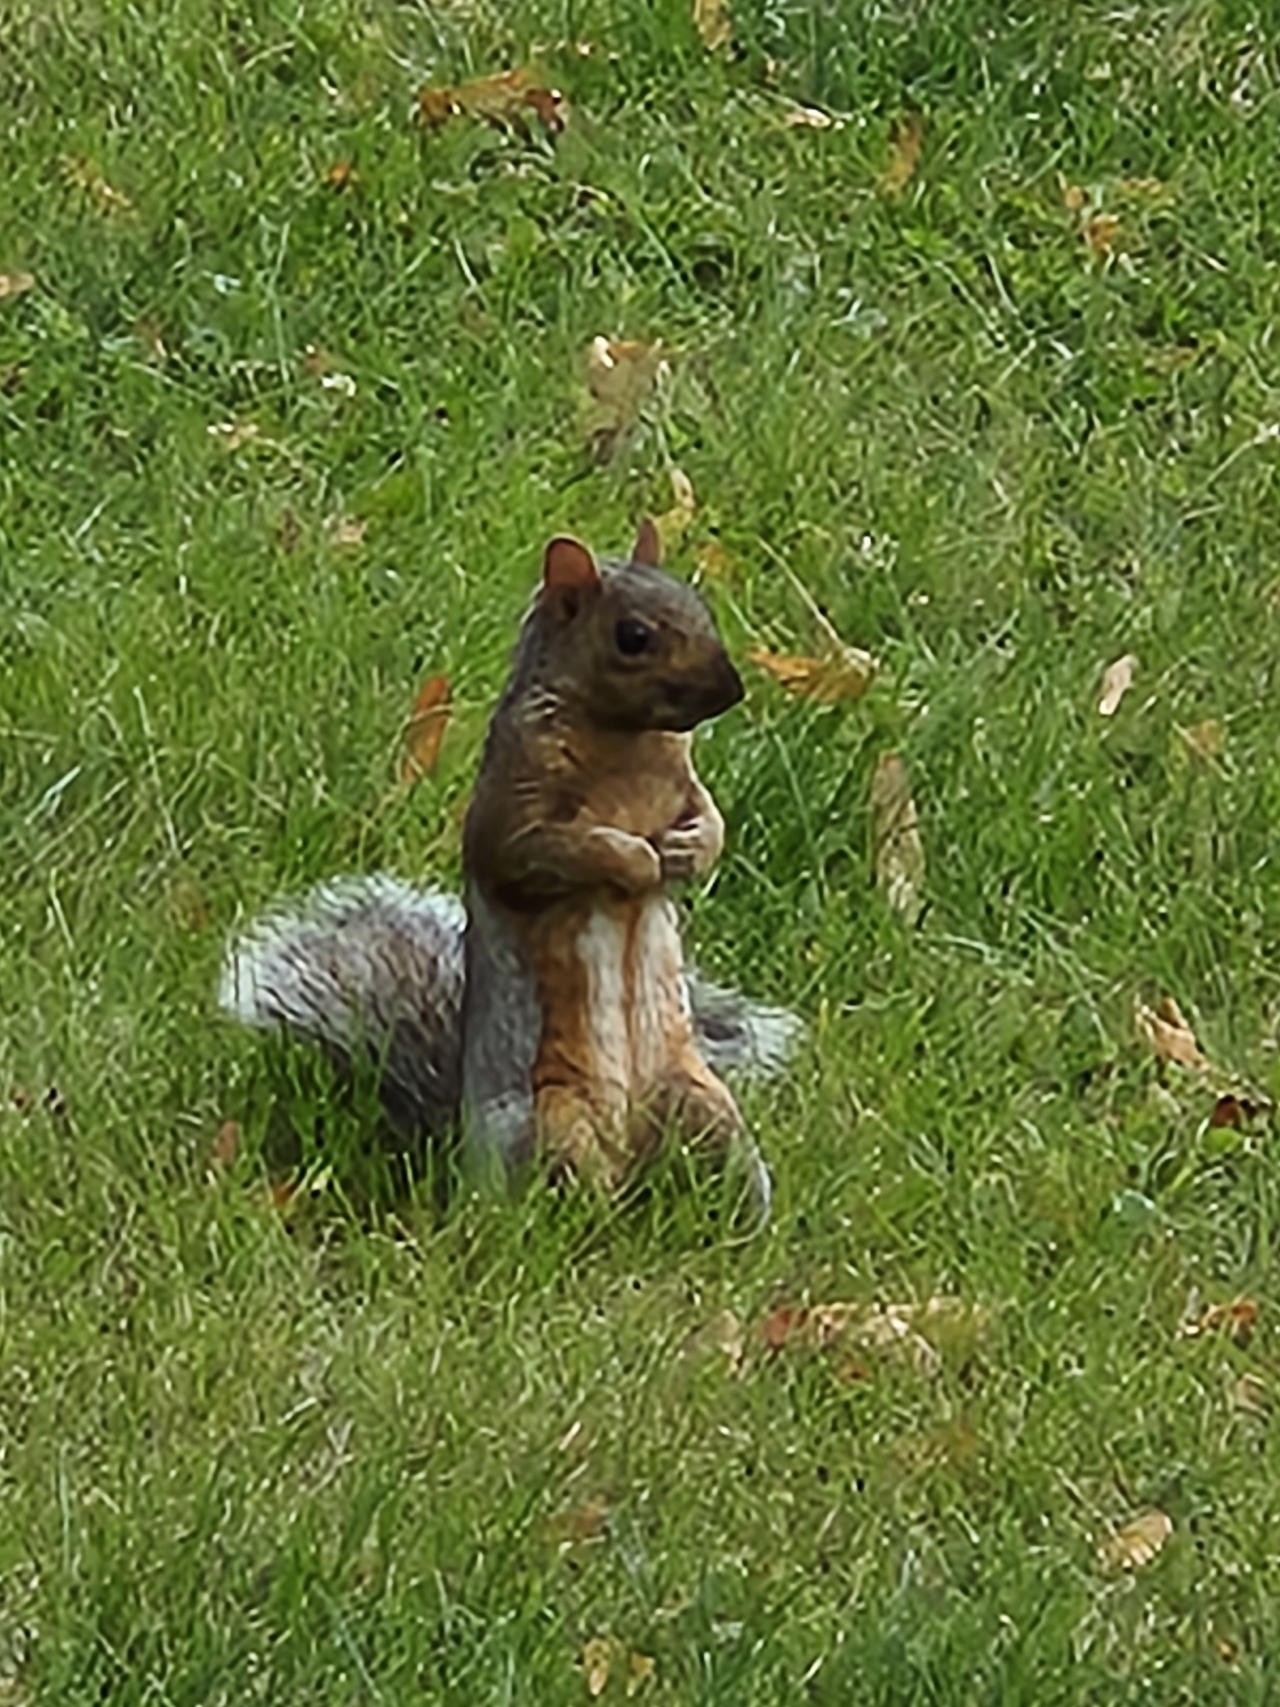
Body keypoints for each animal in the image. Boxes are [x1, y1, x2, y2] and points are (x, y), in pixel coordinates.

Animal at [219, 522, 801, 1215]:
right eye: (632, 636)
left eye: (699, 602)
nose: (732, 690)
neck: (627, 740)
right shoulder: (514, 811)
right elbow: (552, 851)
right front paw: (636, 861)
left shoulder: (684, 782)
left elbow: (711, 817)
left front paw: (690, 851)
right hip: (553, 1121)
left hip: (703, 1107)